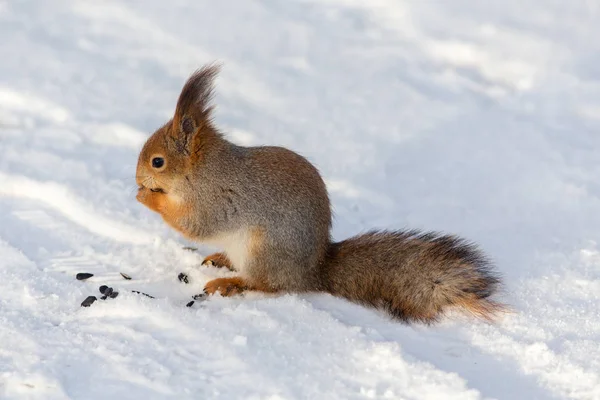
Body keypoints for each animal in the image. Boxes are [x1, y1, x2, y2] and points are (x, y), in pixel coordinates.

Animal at [135, 64, 502, 324]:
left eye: (158, 161)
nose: (137, 177)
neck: (203, 171)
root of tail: (312, 272)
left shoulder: (218, 201)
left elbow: (195, 225)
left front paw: (147, 197)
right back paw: (221, 261)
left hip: (263, 250)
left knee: (267, 285)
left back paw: (229, 284)